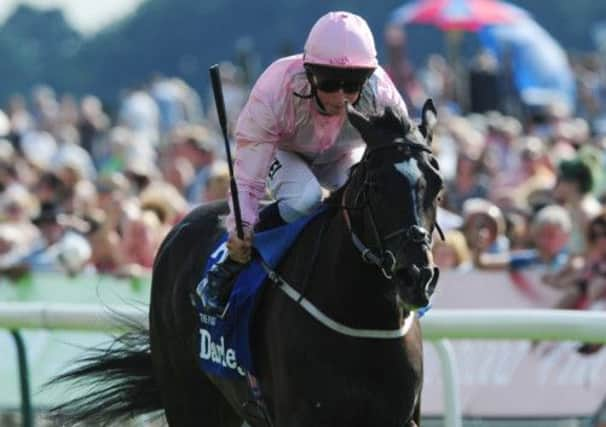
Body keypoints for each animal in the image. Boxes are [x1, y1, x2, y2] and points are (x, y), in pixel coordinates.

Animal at [50, 100, 444, 427]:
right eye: (375, 185)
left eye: (437, 186)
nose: (415, 277)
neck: (361, 314)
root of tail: (181, 225)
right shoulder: (299, 416)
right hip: (188, 395)